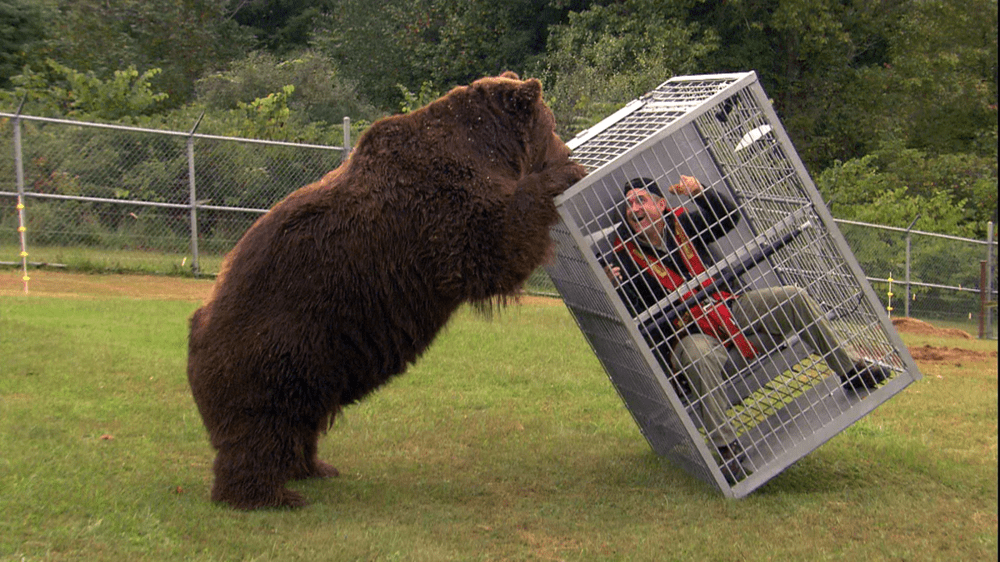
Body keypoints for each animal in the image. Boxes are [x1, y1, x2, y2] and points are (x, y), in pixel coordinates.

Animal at [188, 71, 584, 508]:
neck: (490, 148)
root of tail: (197, 329)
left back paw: (313, 467)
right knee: (264, 426)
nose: (567, 148)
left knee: (299, 422)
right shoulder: (443, 209)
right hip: (278, 344)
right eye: (551, 126)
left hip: (312, 362)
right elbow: (493, 242)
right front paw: (564, 175)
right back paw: (269, 495)